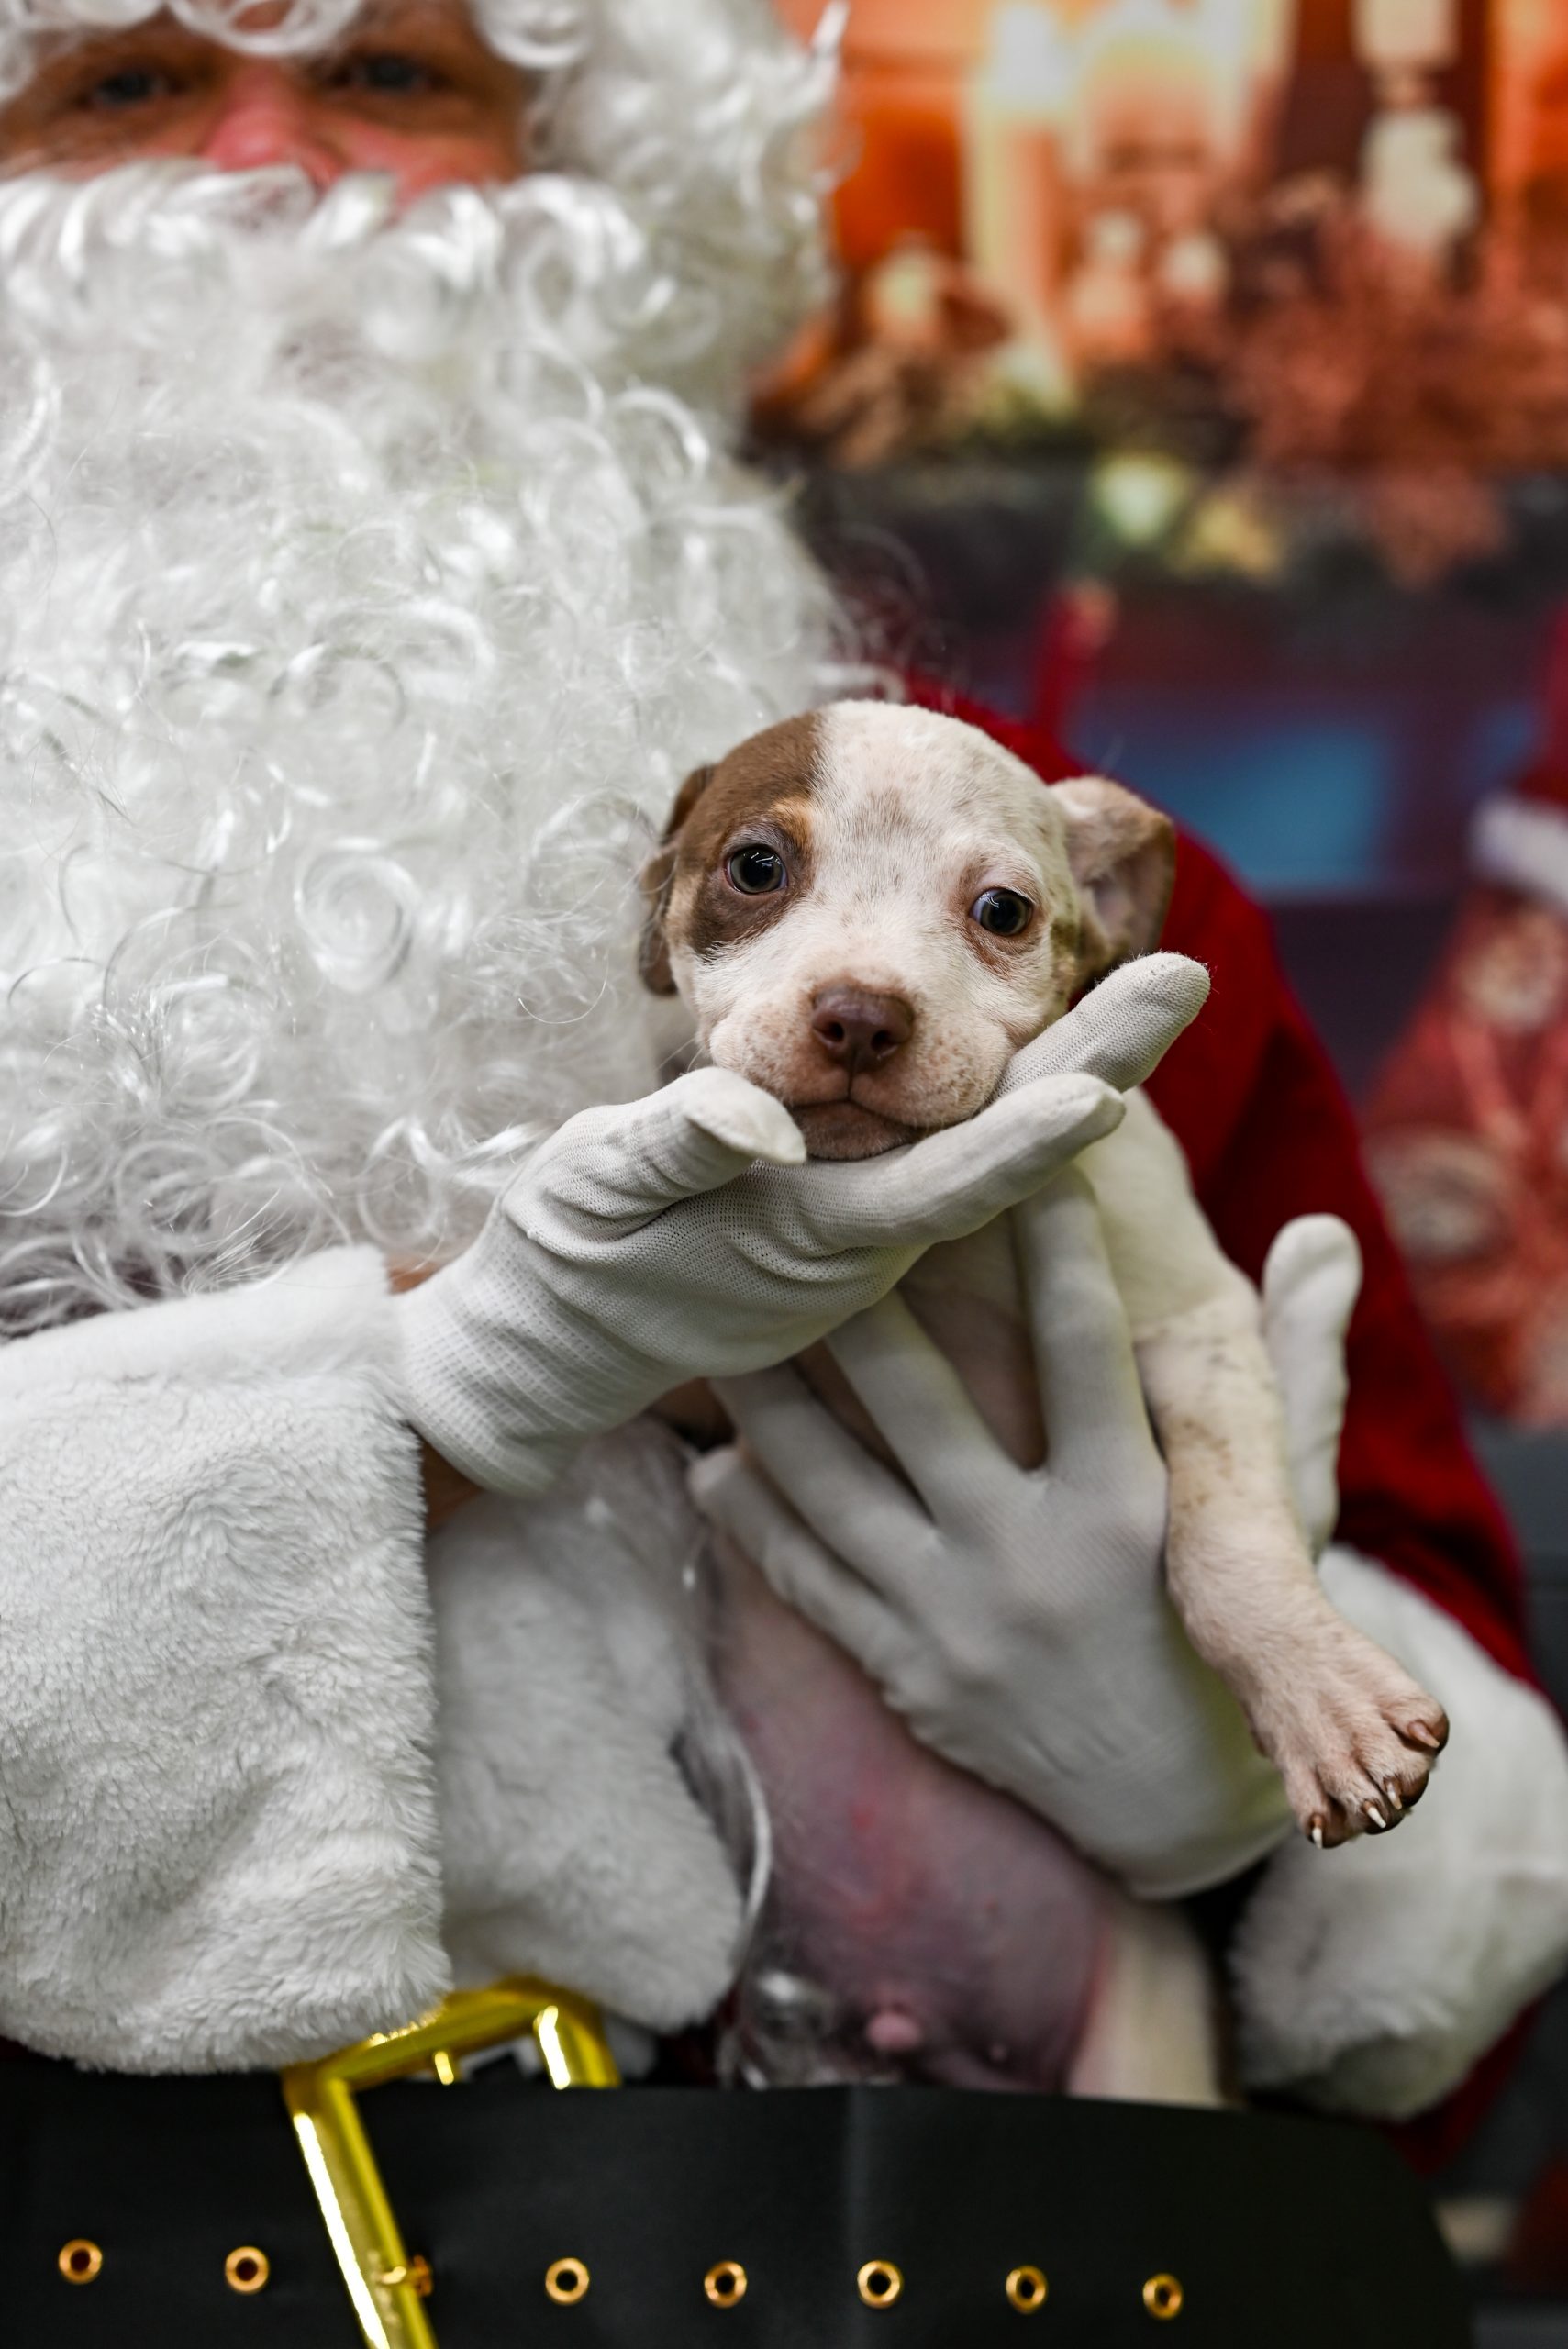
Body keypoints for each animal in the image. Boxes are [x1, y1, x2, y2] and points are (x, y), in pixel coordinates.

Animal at [640, 700, 1449, 2089]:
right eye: (755, 867)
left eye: (1001, 911)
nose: (858, 1015)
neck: (934, 1249)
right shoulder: (696, 1385)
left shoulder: (1195, 1326)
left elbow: (1225, 1546)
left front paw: (1316, 1695)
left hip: (1141, 2041)